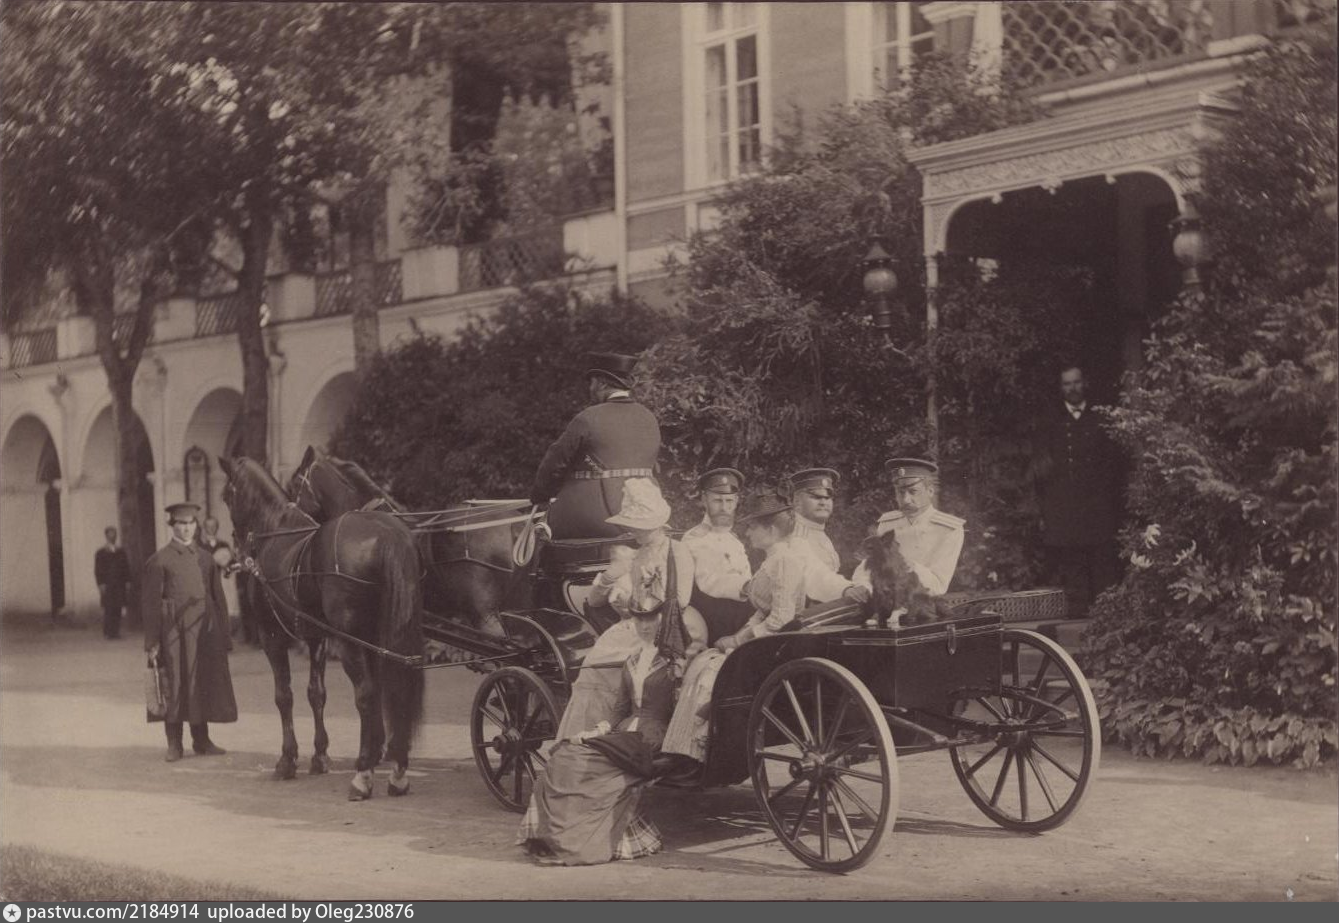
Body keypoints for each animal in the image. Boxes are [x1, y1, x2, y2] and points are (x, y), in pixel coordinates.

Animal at [219, 455, 425, 800]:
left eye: (225, 495)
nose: (237, 543)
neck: (276, 531)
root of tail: (385, 533)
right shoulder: (317, 639)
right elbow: (317, 694)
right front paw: (320, 754)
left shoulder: (272, 637)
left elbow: (284, 695)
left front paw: (287, 760)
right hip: (383, 637)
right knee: (394, 689)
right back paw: (395, 768)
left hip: (352, 641)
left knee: (366, 693)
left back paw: (363, 774)